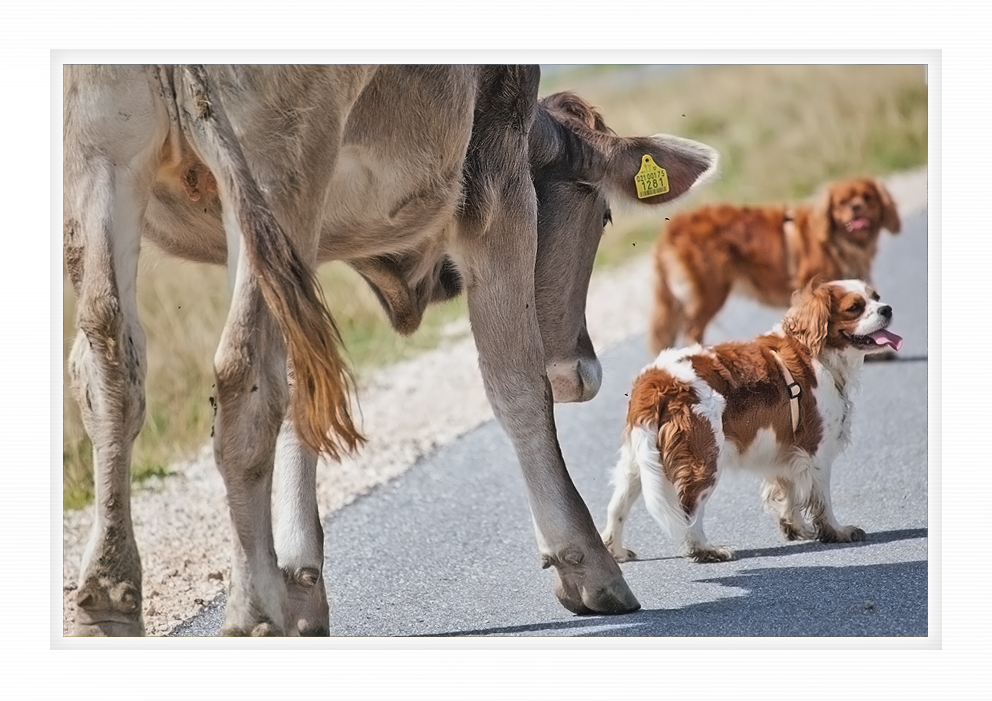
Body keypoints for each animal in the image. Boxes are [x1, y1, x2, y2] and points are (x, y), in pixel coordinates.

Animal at [66, 65, 716, 636]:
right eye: (603, 215)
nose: (583, 371)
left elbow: (306, 388)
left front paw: (301, 583)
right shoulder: (496, 176)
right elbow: (515, 383)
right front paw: (585, 563)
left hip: (105, 154)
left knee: (109, 360)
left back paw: (106, 602)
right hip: (277, 156)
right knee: (241, 374)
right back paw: (252, 610)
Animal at [600, 278, 904, 564]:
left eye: (876, 297)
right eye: (855, 307)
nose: (887, 309)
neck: (813, 351)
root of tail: (657, 379)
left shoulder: (786, 449)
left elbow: (791, 492)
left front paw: (796, 528)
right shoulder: (816, 451)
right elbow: (822, 500)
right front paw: (836, 532)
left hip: (637, 461)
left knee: (617, 505)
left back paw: (616, 550)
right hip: (705, 458)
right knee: (689, 509)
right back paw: (706, 550)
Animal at [652, 178, 900, 352]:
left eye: (868, 197)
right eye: (842, 203)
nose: (857, 207)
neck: (836, 239)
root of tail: (673, 226)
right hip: (709, 294)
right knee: (693, 331)